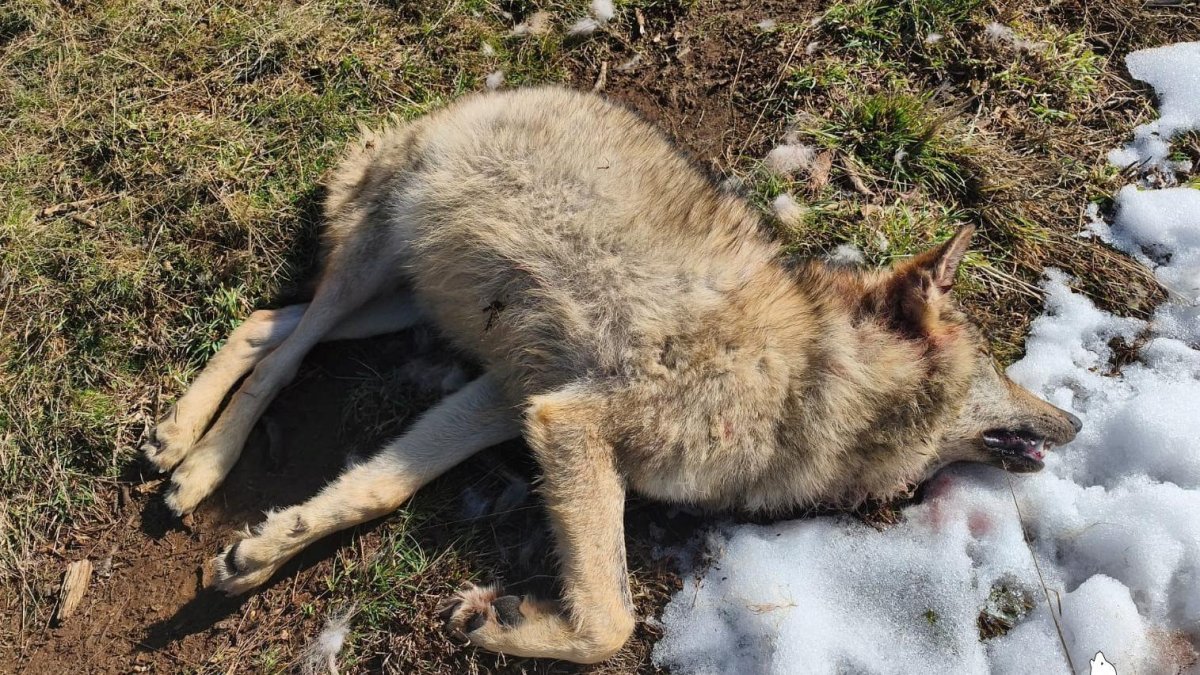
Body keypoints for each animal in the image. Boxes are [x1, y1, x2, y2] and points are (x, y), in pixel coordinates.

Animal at [143, 86, 1081, 663]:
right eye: (999, 369)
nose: (1076, 423)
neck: (804, 379)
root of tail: (482, 98)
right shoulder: (570, 423)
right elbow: (611, 620)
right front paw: (500, 623)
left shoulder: (514, 398)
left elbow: (374, 488)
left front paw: (264, 549)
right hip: (373, 270)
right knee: (287, 349)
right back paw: (196, 465)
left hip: (405, 303)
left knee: (265, 323)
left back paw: (181, 446)